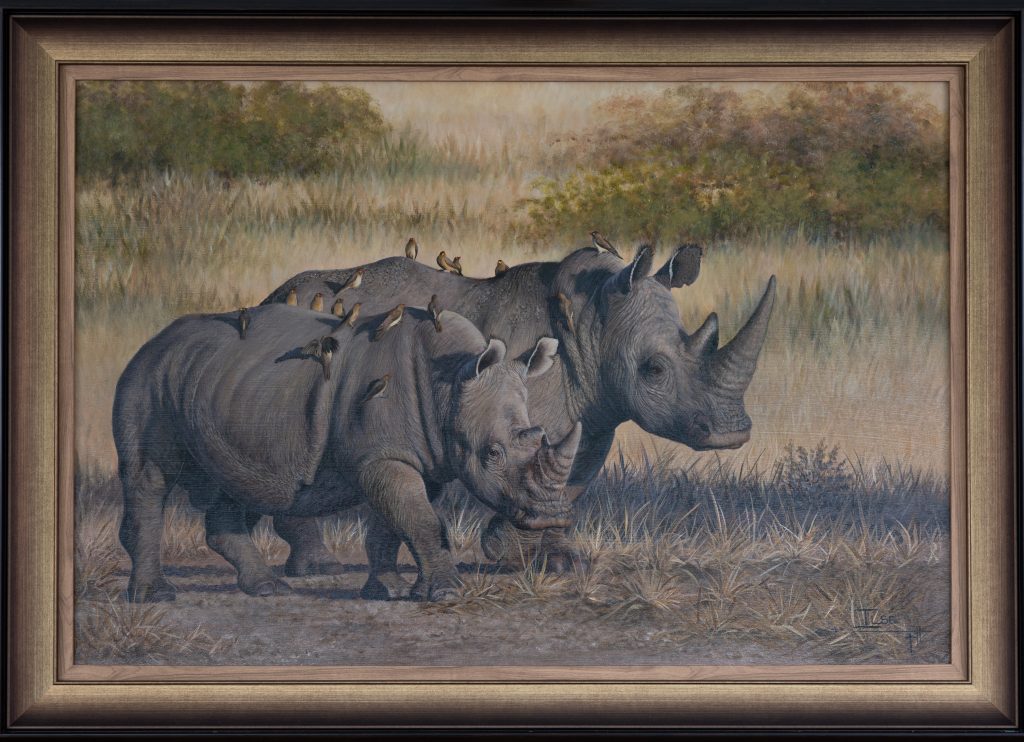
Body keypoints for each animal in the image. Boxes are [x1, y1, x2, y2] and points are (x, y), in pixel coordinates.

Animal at [113, 303, 582, 602]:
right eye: (494, 453)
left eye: (538, 436)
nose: (550, 515)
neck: (451, 380)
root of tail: (149, 342)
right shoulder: (384, 458)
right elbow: (421, 521)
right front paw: (446, 593)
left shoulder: (405, 459)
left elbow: (395, 525)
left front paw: (390, 591)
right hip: (148, 377)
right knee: (150, 477)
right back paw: (155, 598)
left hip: (216, 389)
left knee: (229, 483)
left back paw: (266, 589)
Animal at [262, 245, 776, 571]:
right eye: (653, 370)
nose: (732, 433)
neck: (594, 320)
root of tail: (270, 296)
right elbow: (526, 473)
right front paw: (508, 555)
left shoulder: (595, 415)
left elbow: (571, 480)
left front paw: (559, 562)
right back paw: (314, 567)